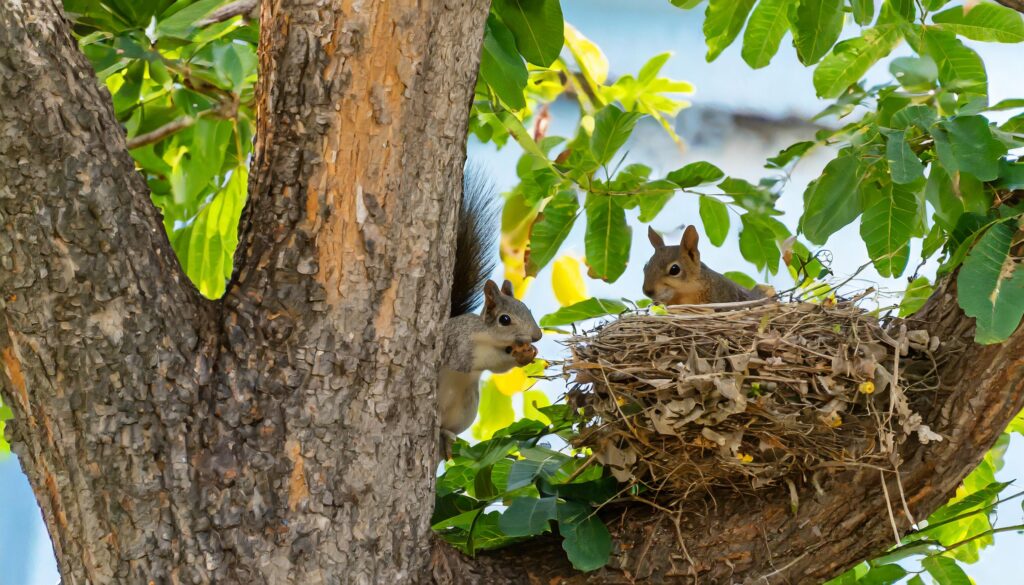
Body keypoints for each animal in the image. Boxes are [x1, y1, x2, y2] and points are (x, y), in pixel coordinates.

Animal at [436, 166, 544, 454]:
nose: (537, 336)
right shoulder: (459, 345)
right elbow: (472, 362)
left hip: (465, 408)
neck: (490, 338)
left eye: (528, 309)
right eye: (505, 319)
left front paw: (528, 354)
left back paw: (446, 436)